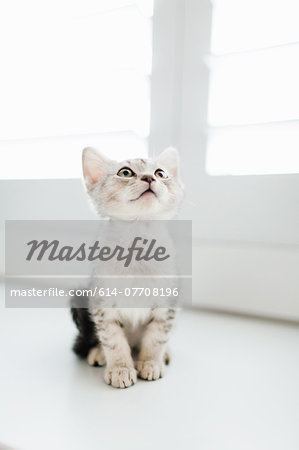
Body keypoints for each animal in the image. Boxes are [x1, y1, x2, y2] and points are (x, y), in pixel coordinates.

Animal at [71, 147, 184, 386]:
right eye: (125, 172)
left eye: (161, 173)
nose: (149, 178)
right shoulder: (102, 302)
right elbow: (112, 338)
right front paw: (120, 368)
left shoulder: (168, 302)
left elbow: (157, 337)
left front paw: (150, 362)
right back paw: (99, 353)